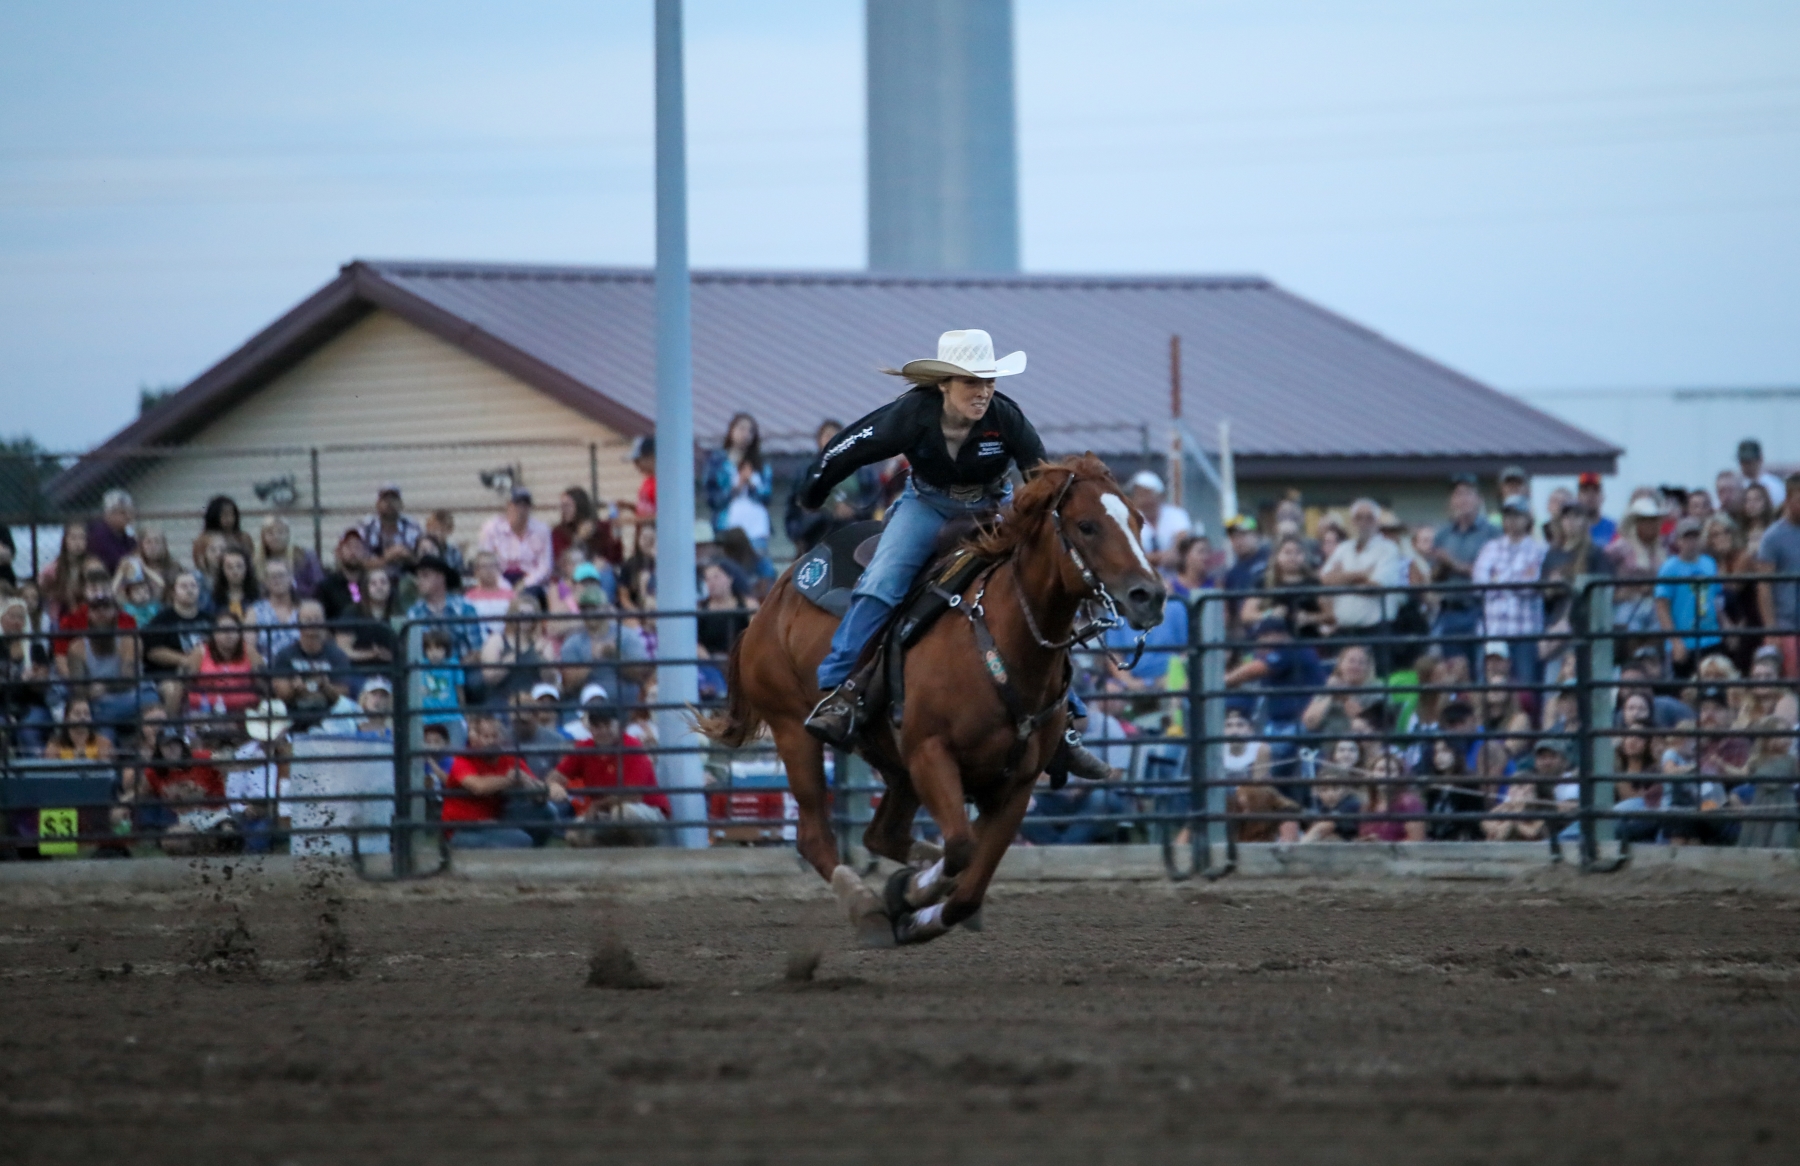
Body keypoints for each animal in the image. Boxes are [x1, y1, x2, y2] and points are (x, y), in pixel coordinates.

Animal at [694, 451, 1159, 942]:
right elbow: (960, 848)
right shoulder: (931, 754)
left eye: (1138, 520)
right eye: (1087, 525)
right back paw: (866, 907)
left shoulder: (1016, 785)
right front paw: (910, 894)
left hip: (893, 761)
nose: (1150, 595)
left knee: (881, 835)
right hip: (794, 732)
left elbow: (969, 880)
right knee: (816, 836)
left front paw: (916, 904)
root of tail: (772, 599)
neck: (999, 638)